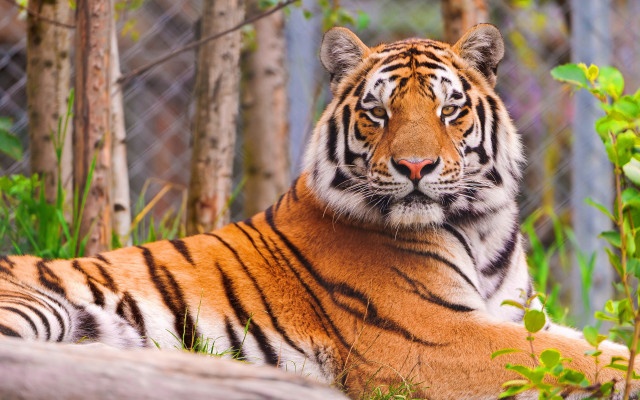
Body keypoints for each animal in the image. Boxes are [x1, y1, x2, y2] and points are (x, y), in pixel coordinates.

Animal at [0, 24, 637, 399]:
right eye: (379, 112)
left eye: (448, 109)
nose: (415, 167)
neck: (479, 226)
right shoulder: (434, 339)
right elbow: (579, 358)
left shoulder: (516, 317)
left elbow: (591, 345)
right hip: (37, 306)